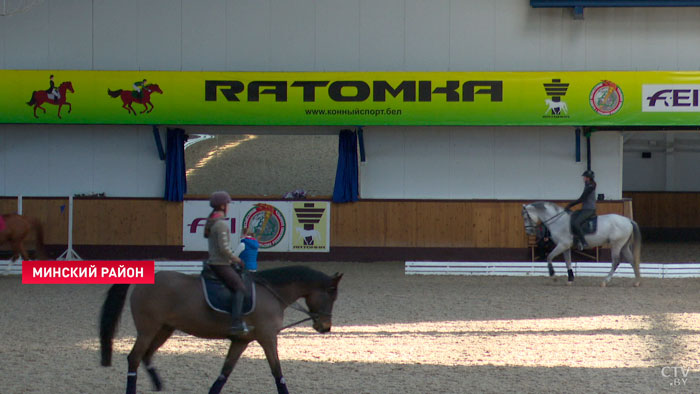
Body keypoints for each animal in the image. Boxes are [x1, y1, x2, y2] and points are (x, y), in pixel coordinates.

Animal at [100, 264, 344, 394]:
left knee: (147, 356)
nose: (325, 327)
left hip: (164, 329)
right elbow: (277, 372)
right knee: (134, 358)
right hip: (148, 329)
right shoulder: (267, 337)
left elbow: (224, 372)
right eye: (331, 294)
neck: (272, 293)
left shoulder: (241, 341)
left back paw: (159, 385)